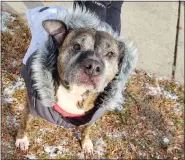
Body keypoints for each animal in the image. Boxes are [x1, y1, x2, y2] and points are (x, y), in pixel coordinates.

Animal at [15, 5, 137, 154]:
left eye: (110, 54)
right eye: (76, 46)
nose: (93, 66)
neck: (74, 93)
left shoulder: (91, 118)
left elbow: (87, 129)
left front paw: (86, 143)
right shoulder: (31, 106)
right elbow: (24, 123)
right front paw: (21, 139)